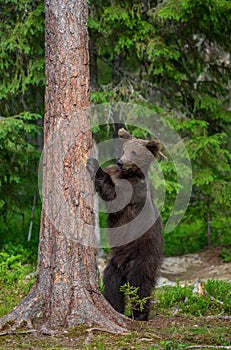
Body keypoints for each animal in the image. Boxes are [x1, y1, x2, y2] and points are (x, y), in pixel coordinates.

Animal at [86, 129, 162, 320]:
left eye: (134, 152)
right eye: (124, 149)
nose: (120, 161)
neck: (127, 174)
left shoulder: (133, 190)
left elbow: (115, 198)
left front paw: (93, 164)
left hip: (144, 253)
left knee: (141, 283)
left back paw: (140, 314)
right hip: (116, 262)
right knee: (111, 281)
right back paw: (114, 306)